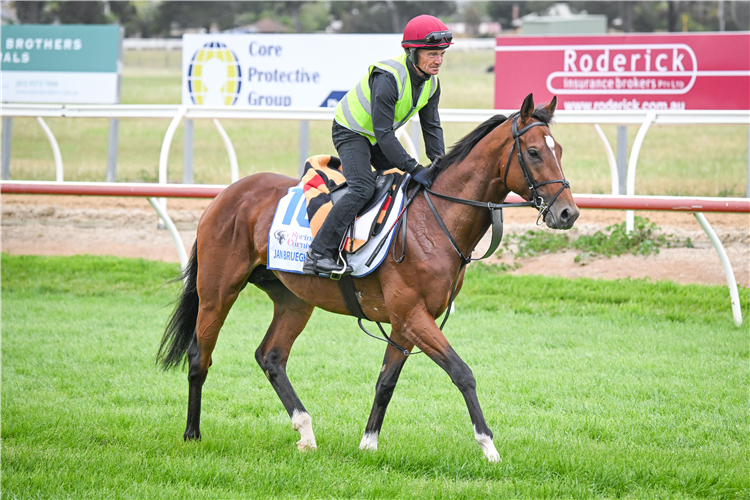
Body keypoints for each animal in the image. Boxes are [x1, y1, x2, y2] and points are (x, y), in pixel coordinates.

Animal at [157, 93, 580, 460]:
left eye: (559, 150)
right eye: (534, 152)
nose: (568, 213)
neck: (435, 219)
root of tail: (225, 195)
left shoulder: (406, 321)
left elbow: (385, 382)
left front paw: (368, 445)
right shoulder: (413, 314)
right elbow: (462, 372)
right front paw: (488, 446)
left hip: (294, 299)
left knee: (271, 356)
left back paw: (306, 431)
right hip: (218, 291)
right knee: (199, 355)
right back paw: (192, 434)